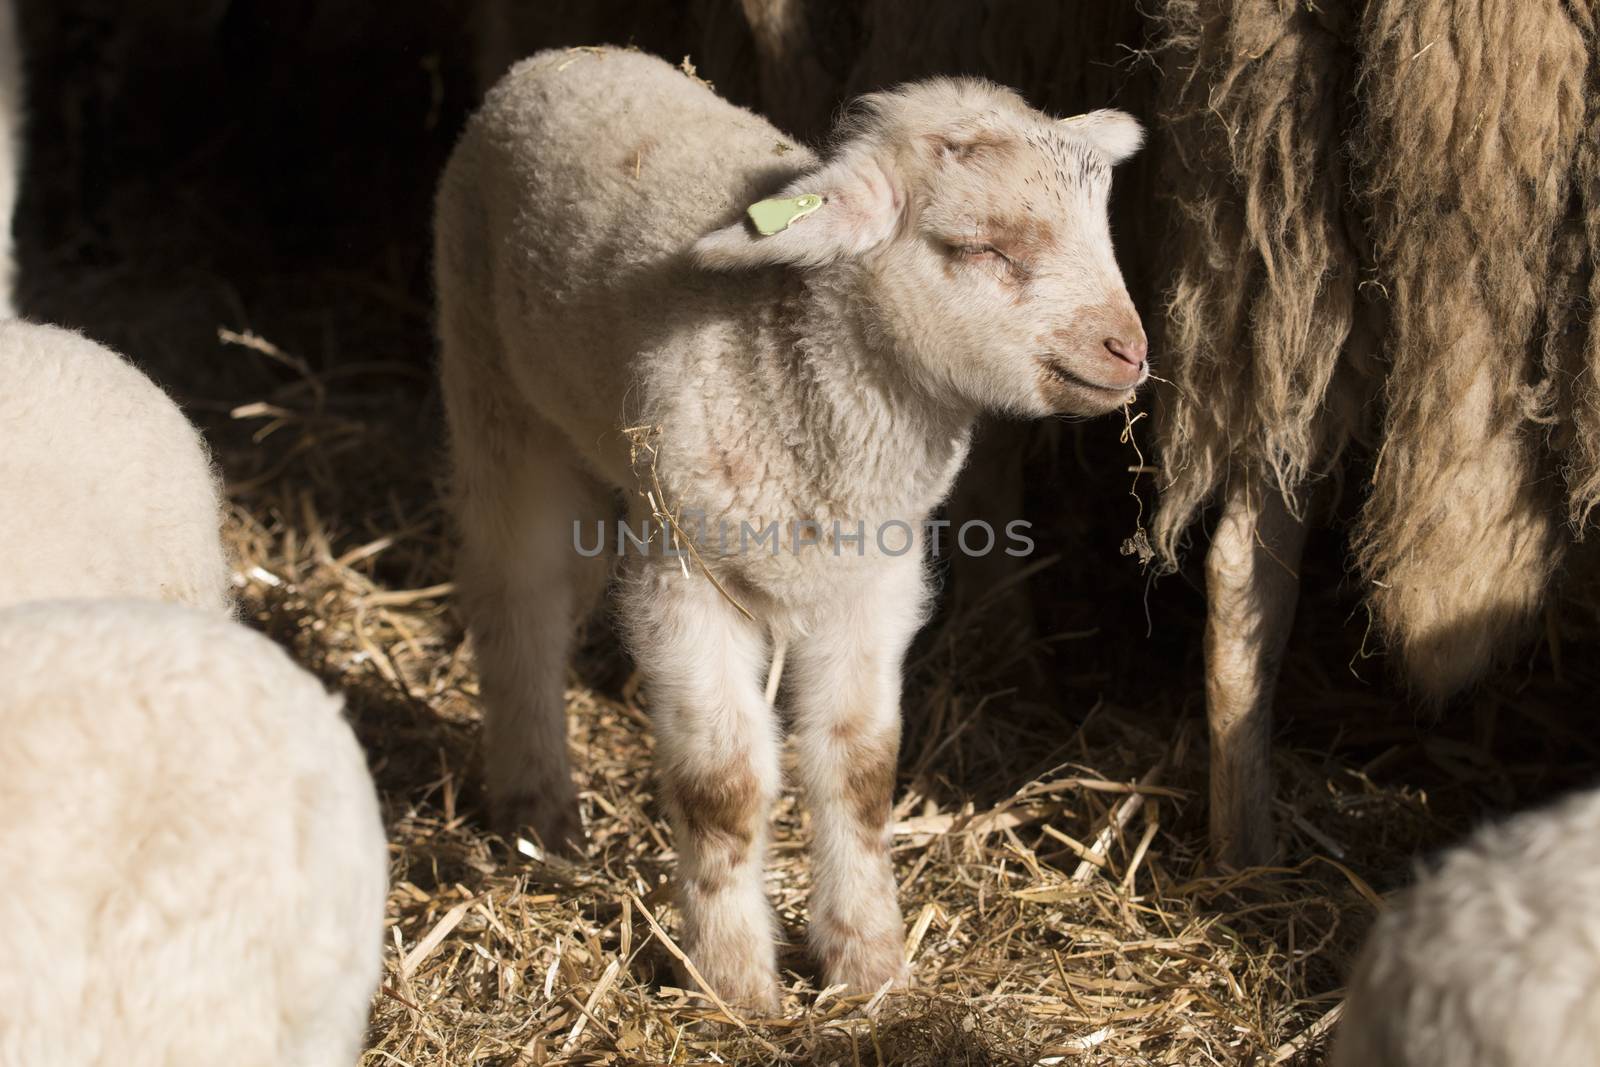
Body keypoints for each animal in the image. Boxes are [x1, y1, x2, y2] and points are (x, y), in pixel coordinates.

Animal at [432, 43, 1145, 1011]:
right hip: (492, 383)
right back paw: (536, 808)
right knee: (519, 594)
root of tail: (563, 58)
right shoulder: (685, 581)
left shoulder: (871, 583)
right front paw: (735, 985)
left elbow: (862, 772)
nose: (1131, 350)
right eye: (981, 248)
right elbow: (723, 786)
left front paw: (869, 964)